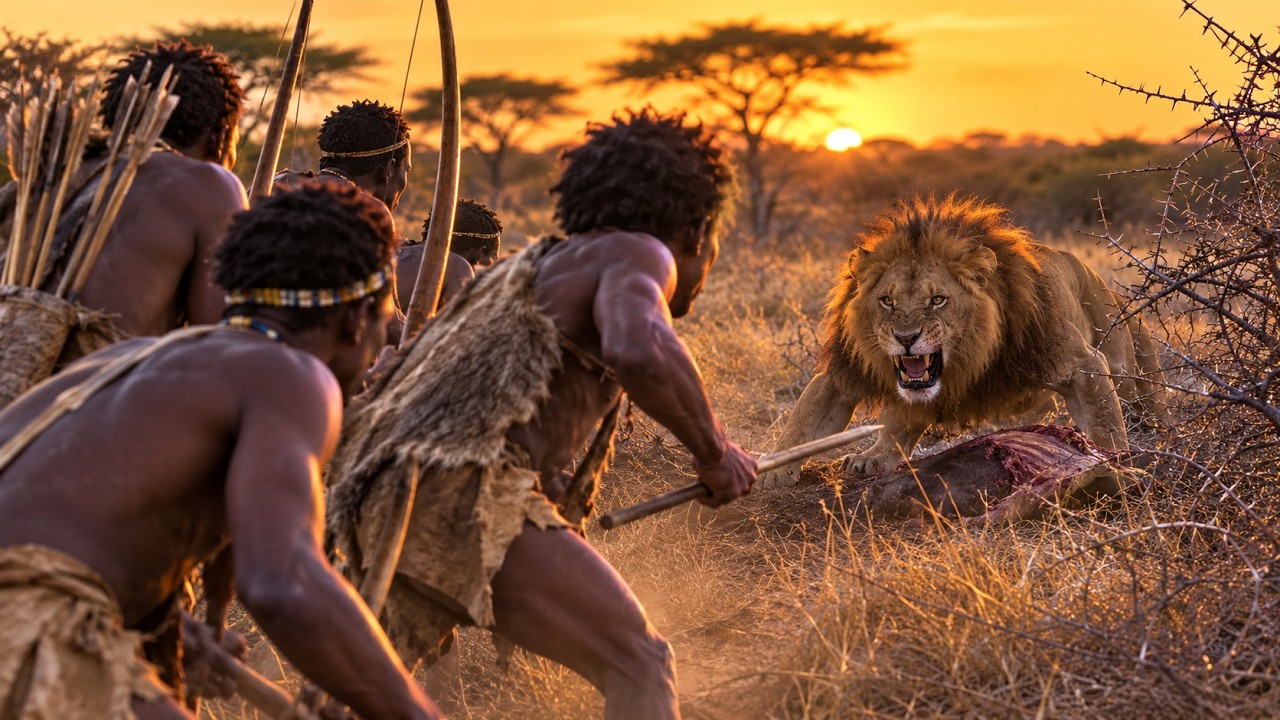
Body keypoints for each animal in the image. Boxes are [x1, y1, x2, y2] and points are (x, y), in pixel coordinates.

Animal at [759, 194, 1168, 493]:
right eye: (887, 301)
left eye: (938, 300)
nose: (905, 338)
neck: (964, 361)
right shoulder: (847, 371)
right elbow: (803, 420)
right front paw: (772, 469)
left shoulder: (1081, 364)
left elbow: (1105, 427)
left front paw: (1118, 470)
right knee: (901, 424)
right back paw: (872, 457)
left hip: (1126, 362)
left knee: (1140, 400)